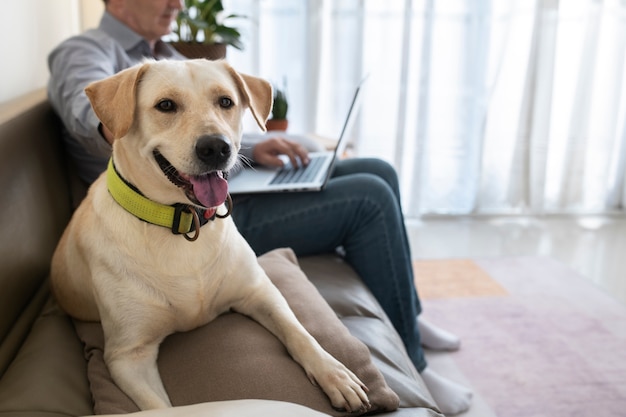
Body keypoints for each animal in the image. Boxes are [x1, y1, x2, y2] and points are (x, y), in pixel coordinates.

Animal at [51, 57, 370, 410]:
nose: (217, 147)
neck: (182, 223)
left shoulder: (260, 292)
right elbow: (161, 408)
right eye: (166, 105)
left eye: (226, 102)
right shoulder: (128, 356)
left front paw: (334, 374)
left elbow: (300, 333)